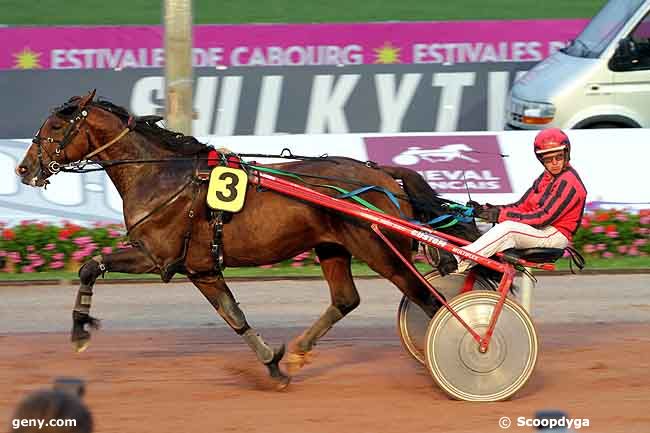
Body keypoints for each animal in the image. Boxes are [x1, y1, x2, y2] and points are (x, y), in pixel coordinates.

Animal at [15, 90, 484, 388]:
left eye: (55, 124)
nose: (23, 169)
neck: (162, 175)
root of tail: (384, 176)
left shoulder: (156, 256)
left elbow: (89, 266)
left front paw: (79, 329)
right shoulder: (201, 268)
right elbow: (234, 316)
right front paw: (275, 365)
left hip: (380, 251)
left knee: (428, 301)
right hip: (333, 246)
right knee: (346, 299)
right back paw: (300, 350)